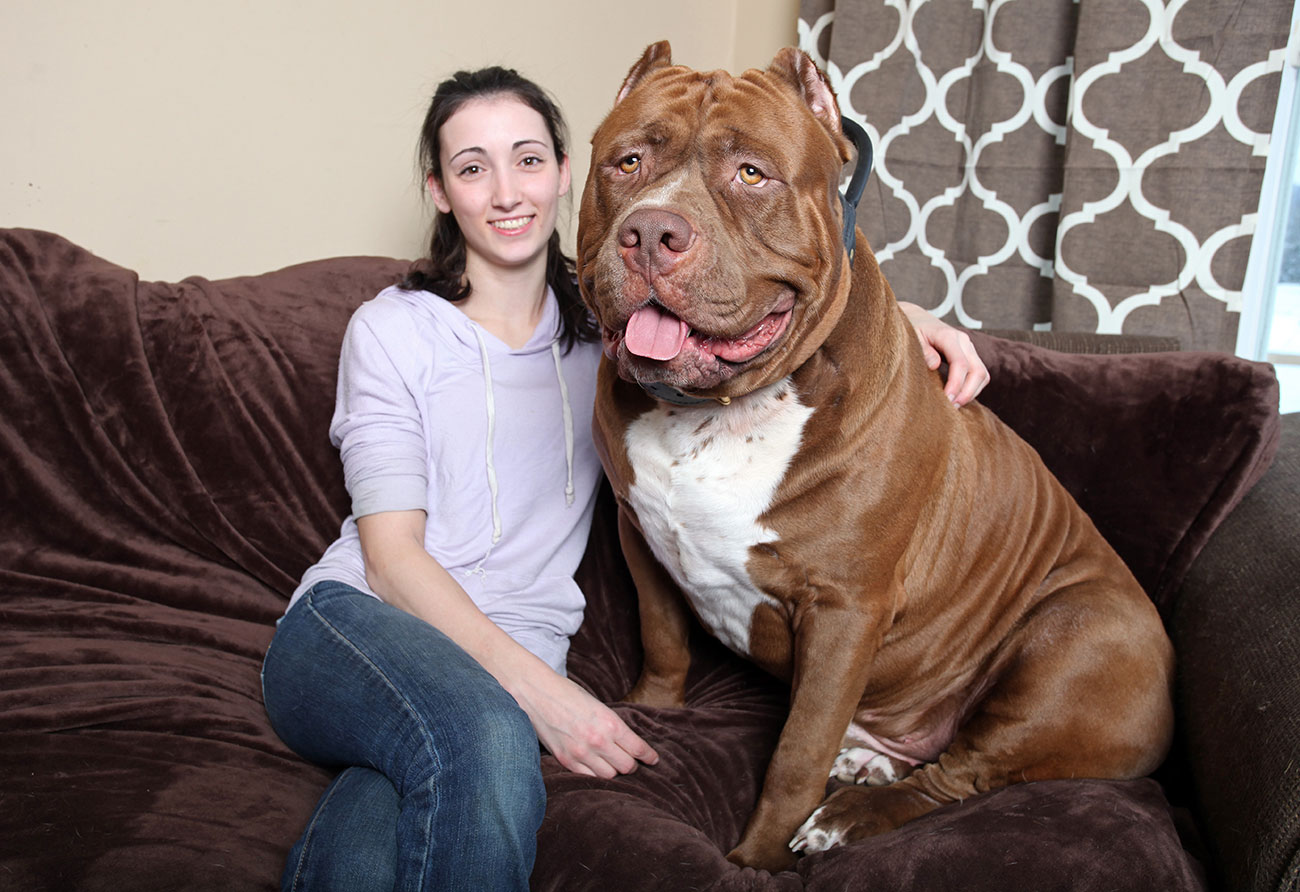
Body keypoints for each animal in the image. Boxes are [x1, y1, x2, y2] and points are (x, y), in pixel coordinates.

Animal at [574, 41, 1175, 873]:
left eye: (752, 174)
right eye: (628, 161)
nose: (652, 231)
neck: (715, 411)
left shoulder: (845, 610)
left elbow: (796, 753)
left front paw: (756, 861)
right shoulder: (640, 533)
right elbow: (663, 639)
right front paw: (653, 713)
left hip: (1076, 634)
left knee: (961, 774)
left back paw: (849, 816)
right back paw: (871, 760)